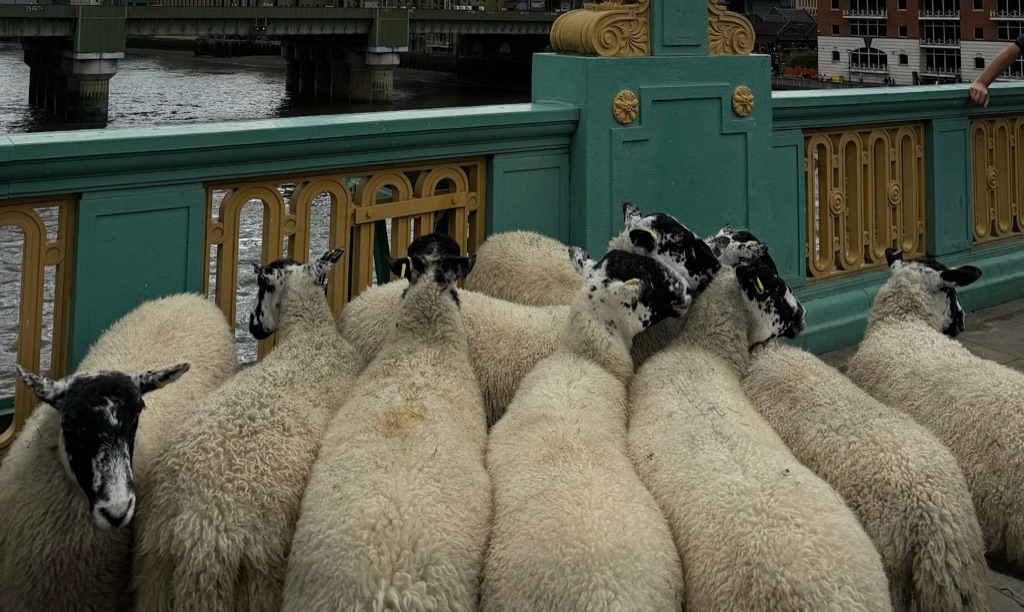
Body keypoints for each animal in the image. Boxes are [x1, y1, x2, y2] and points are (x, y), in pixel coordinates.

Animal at [132, 249, 363, 612]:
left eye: (261, 287)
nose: (252, 326)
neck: (311, 337)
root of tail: (200, 538)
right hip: (258, 584)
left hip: (152, 576)